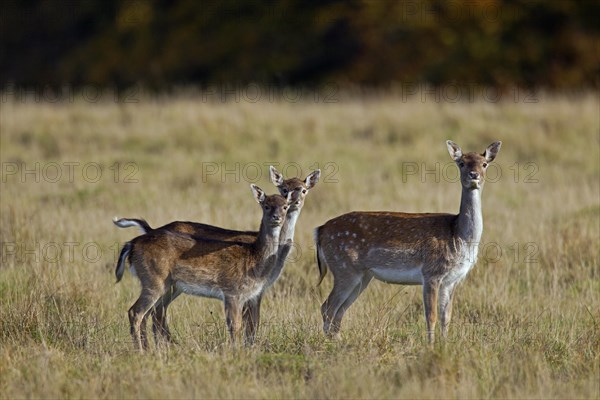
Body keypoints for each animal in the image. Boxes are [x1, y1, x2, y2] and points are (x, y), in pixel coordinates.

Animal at [112, 167, 318, 346]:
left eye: (303, 190)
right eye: (284, 189)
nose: (294, 202)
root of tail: (133, 243)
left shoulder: (254, 293)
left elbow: (252, 326)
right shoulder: (235, 292)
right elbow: (241, 326)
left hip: (168, 285)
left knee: (152, 313)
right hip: (154, 280)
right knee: (138, 312)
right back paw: (146, 351)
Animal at [314, 141, 502, 344]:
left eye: (484, 164)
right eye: (461, 163)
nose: (474, 175)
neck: (459, 236)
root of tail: (320, 230)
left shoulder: (451, 280)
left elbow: (446, 316)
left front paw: (445, 344)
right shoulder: (431, 273)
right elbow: (431, 315)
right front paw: (431, 345)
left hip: (362, 276)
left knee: (339, 310)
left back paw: (339, 341)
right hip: (344, 268)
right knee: (328, 307)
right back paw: (330, 343)